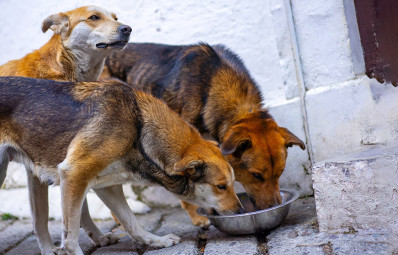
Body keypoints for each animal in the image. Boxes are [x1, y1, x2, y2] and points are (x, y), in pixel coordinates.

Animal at [0, 4, 132, 254]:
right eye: (93, 17)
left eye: (116, 17)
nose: (127, 28)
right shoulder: (36, 170)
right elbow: (42, 217)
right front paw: (48, 249)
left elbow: (81, 208)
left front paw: (98, 237)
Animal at [0, 76, 243, 255]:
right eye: (221, 186)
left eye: (233, 183)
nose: (241, 211)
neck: (138, 126)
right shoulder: (74, 174)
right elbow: (70, 239)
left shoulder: (105, 185)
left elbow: (130, 220)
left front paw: (155, 241)